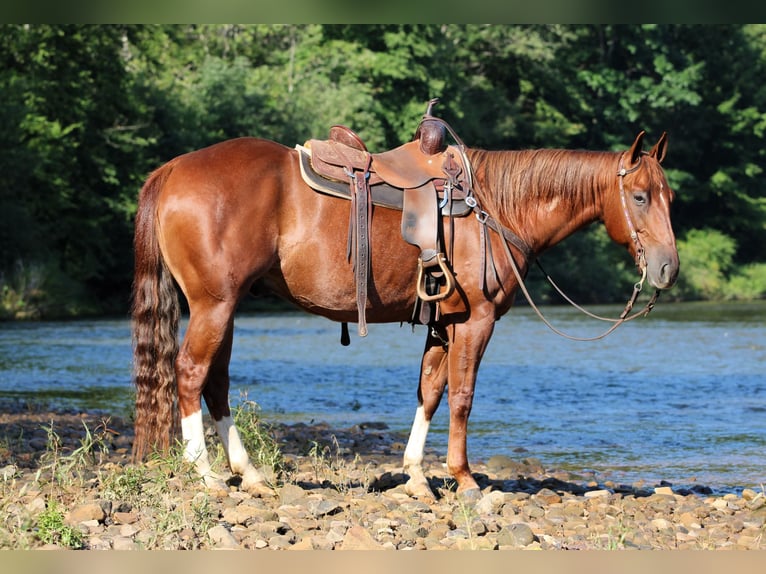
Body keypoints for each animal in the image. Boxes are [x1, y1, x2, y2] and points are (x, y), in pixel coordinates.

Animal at [131, 128, 678, 500]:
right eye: (639, 196)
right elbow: (462, 397)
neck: (496, 208)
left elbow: (430, 391)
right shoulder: (477, 321)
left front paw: (416, 474)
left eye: (669, 196)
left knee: (216, 383)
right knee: (190, 374)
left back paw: (248, 473)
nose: (667, 268)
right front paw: (464, 479)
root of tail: (173, 169)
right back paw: (205, 473)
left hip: (224, 307)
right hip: (214, 305)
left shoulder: (444, 323)